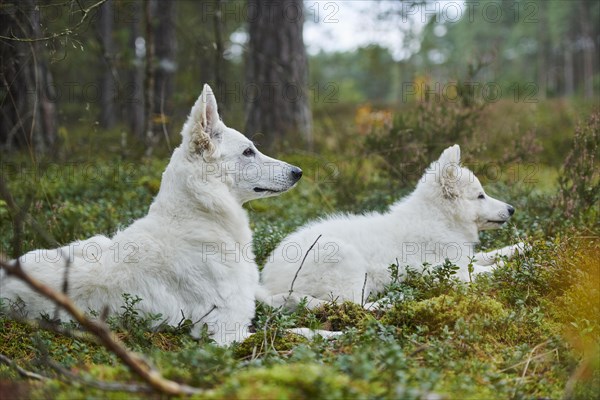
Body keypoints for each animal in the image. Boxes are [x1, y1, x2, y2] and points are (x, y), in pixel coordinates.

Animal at [0, 83, 300, 344]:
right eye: (248, 151)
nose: (298, 172)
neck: (200, 216)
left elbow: (284, 298)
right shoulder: (225, 332)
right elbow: (294, 333)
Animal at [260, 145, 524, 310]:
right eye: (480, 196)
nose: (512, 209)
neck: (440, 219)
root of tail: (267, 284)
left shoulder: (462, 257)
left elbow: (489, 254)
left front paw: (522, 247)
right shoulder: (446, 269)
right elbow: (482, 270)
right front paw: (512, 267)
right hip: (343, 260)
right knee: (349, 305)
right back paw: (391, 301)